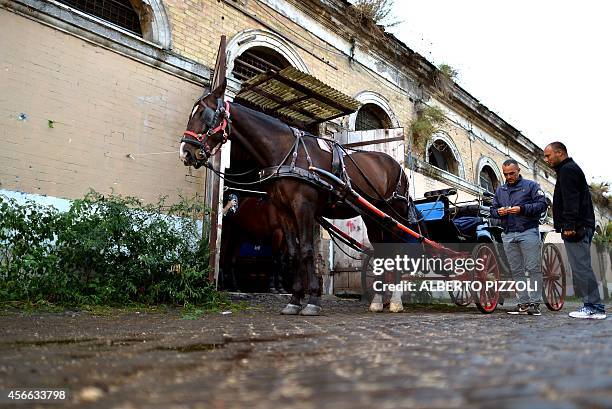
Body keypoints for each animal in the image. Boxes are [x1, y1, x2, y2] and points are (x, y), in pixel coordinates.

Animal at [179, 79, 424, 316]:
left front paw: (313, 299)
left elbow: (307, 250)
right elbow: (294, 252)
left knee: (397, 249)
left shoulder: (303, 206)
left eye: (204, 114)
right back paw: (378, 301)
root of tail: (397, 166)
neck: (286, 152)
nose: (185, 152)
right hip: (372, 216)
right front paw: (295, 299)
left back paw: (395, 301)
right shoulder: (284, 211)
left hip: (395, 214)